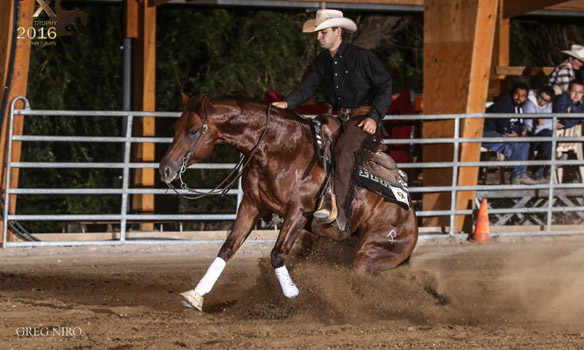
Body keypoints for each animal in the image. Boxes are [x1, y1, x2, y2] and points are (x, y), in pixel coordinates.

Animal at [157, 93, 418, 308]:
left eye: (192, 131)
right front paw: (195, 295)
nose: (165, 170)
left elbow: (277, 254)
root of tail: (410, 217)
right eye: (176, 127)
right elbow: (227, 249)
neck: (280, 148)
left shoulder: (298, 213)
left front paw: (292, 294)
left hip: (371, 252)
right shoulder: (251, 206)